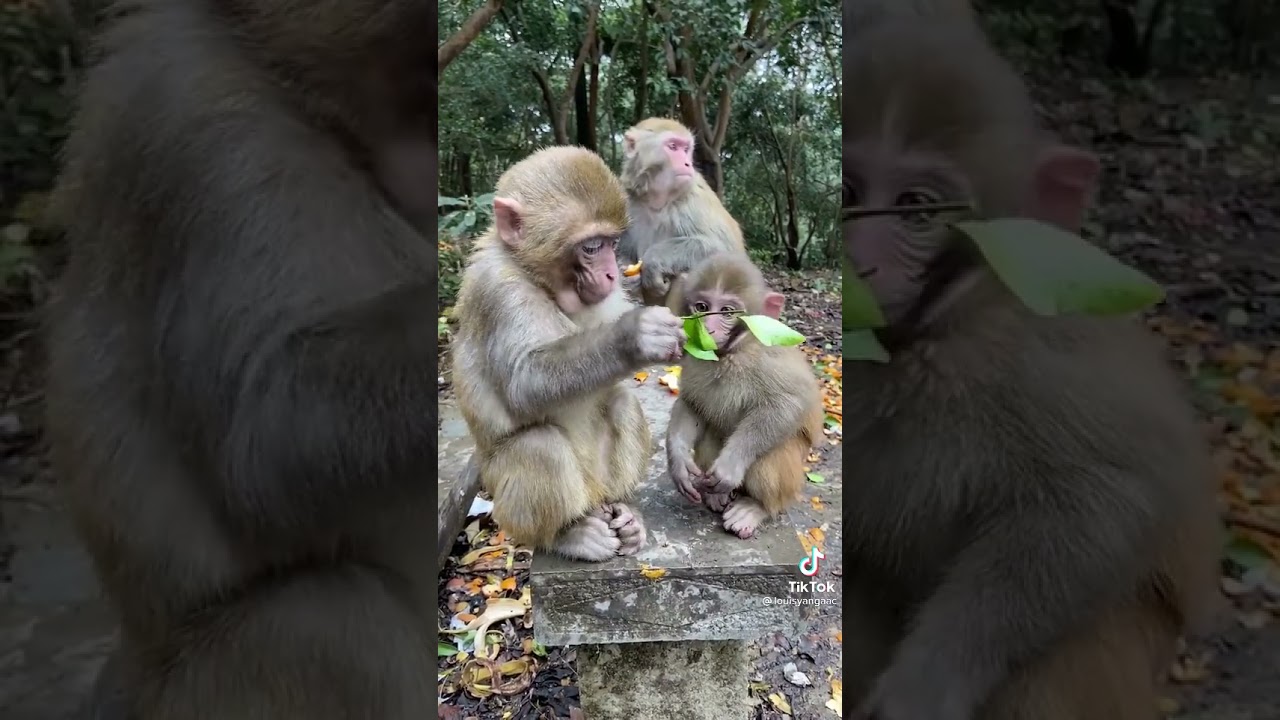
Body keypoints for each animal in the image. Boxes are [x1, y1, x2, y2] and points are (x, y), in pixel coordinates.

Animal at [450, 146, 688, 563]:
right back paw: (568, 534)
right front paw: (635, 336)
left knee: (622, 402)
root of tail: (592, 496)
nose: (611, 274)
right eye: (590, 247)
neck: (536, 278)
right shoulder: (499, 291)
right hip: (510, 505)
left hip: (600, 481)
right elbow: (524, 383)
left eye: (611, 244)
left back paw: (626, 513)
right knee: (539, 446)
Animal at [616, 117, 747, 306]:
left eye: (686, 149)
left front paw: (654, 260)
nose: (687, 163)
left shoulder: (693, 201)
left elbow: (724, 251)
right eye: (673, 147)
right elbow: (624, 250)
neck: (657, 201)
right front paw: (626, 277)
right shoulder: (627, 202)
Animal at [664, 254, 824, 539]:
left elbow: (789, 404)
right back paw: (719, 496)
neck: (732, 352)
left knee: (772, 453)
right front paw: (678, 461)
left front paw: (731, 465)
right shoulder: (693, 357)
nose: (708, 329)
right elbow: (691, 403)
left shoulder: (767, 357)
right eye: (702, 306)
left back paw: (756, 507)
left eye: (727, 311)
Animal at [840, 15, 1220, 720]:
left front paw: (928, 681)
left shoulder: (1033, 360)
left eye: (916, 208)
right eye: (848, 194)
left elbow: (1100, 501)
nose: (859, 262)